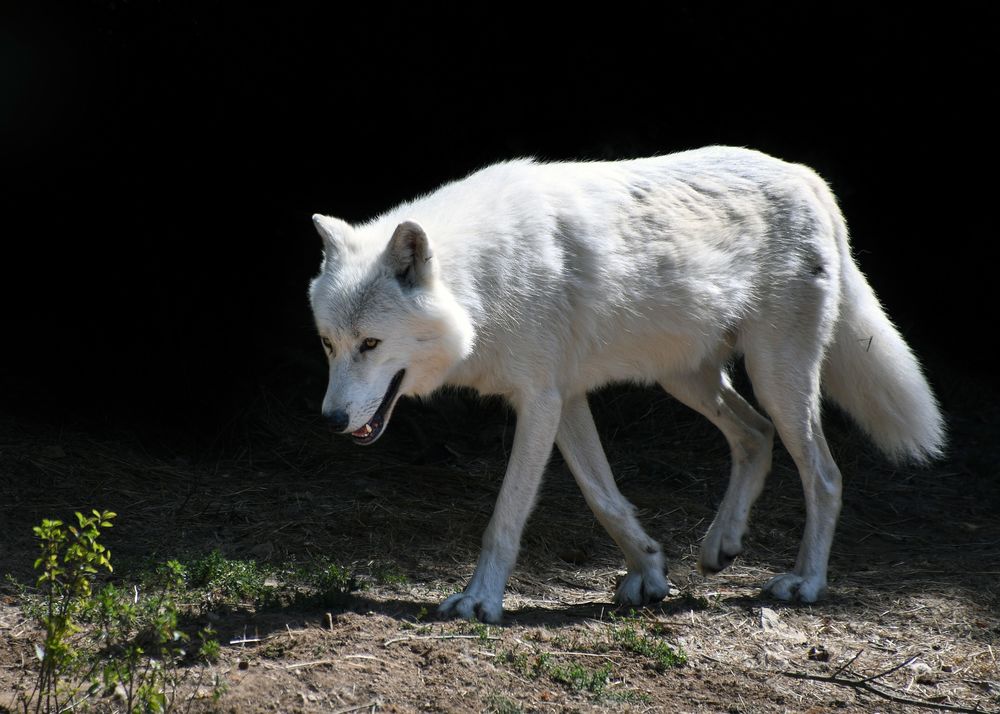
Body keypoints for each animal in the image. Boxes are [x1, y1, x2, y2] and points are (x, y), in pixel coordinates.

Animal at [310, 147, 944, 620]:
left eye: (371, 344)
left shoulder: (539, 402)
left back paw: (806, 583)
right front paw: (650, 570)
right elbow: (604, 498)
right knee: (755, 436)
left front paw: (479, 601)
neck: (483, 283)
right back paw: (720, 545)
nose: (331, 422)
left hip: (775, 378)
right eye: (329, 344)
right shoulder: (564, 400)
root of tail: (808, 177)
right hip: (688, 379)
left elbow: (505, 517)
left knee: (825, 474)